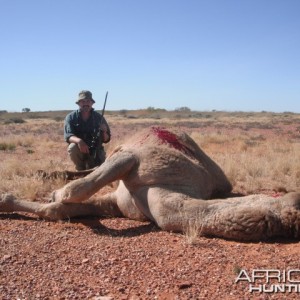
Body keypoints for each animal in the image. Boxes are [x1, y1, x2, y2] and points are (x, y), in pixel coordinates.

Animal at [0, 127, 300, 241]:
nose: (288, 223)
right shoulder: (132, 159)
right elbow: (75, 192)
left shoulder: (119, 199)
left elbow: (61, 208)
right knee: (90, 171)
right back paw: (48, 175)